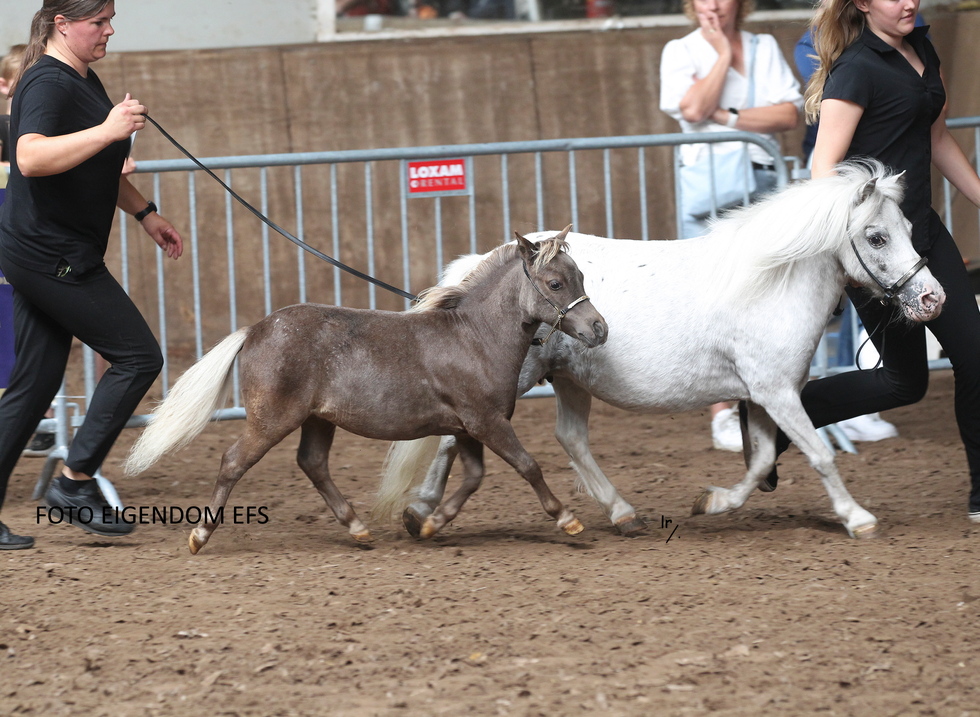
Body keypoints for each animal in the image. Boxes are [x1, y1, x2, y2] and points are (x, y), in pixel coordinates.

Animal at [124, 230, 608, 553]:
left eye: (582, 276)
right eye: (555, 283)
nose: (599, 329)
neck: (474, 336)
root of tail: (256, 329)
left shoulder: (468, 427)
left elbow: (473, 477)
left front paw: (430, 525)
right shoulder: (487, 422)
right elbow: (528, 466)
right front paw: (568, 520)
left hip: (317, 420)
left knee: (313, 463)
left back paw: (358, 529)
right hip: (272, 420)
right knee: (232, 462)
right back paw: (199, 535)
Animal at [376, 160, 946, 540]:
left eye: (909, 229)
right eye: (876, 237)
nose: (932, 299)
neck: (770, 283)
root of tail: (480, 264)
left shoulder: (764, 393)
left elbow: (761, 460)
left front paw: (711, 502)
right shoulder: (777, 392)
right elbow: (821, 454)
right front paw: (858, 518)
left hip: (570, 379)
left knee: (569, 438)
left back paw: (622, 513)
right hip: (508, 382)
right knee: (456, 436)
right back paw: (421, 512)